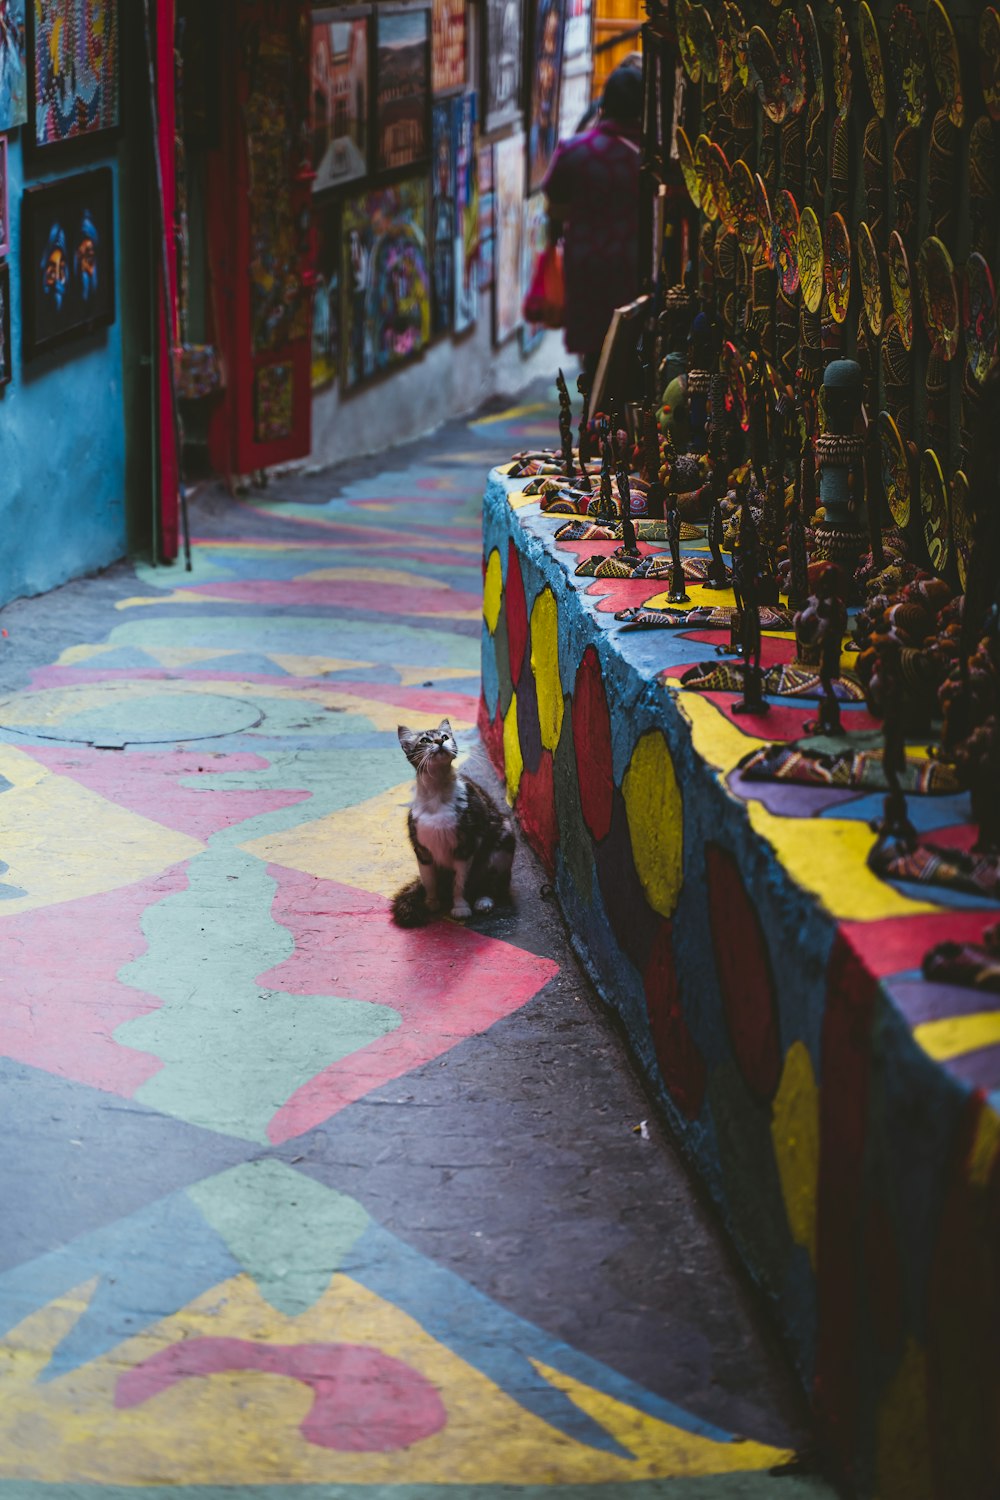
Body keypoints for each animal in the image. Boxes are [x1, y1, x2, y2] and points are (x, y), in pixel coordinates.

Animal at [389, 717, 515, 924]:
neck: (437, 794)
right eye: (424, 740)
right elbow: (429, 881)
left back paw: (483, 901)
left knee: (492, 884)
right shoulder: (422, 849)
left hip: (503, 842)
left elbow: (460, 884)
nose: (439, 741)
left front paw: (461, 908)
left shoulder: (466, 846)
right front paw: (431, 903)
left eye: (445, 736)